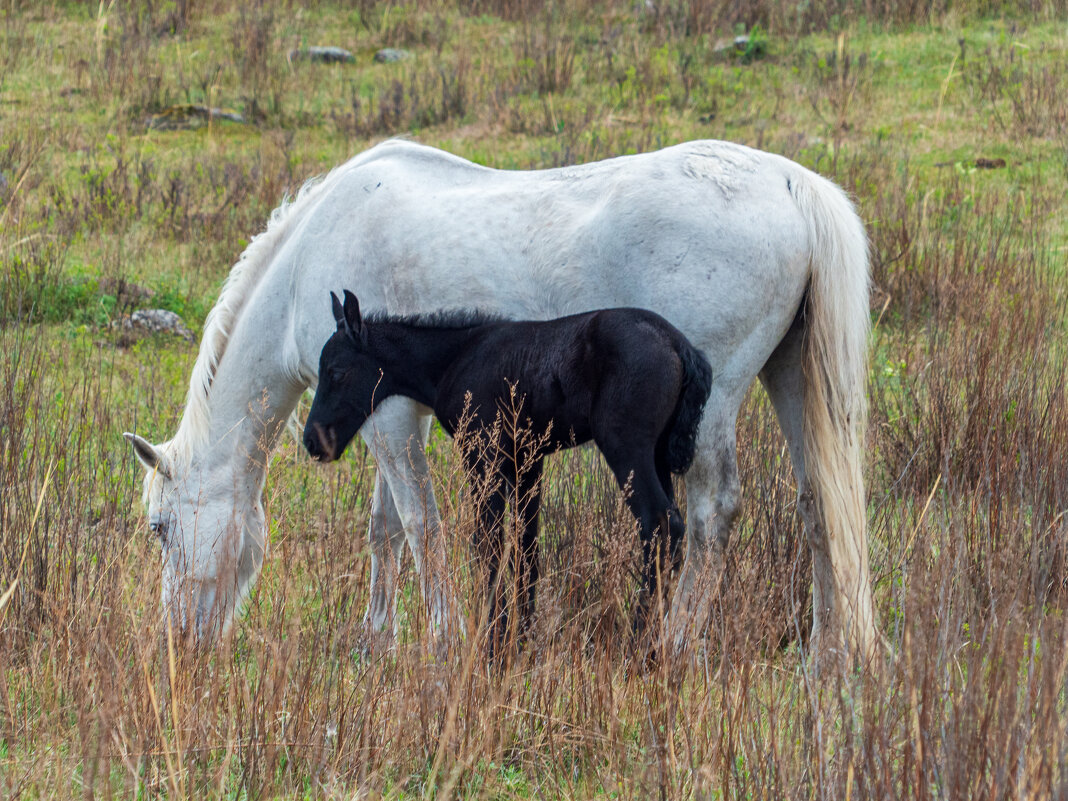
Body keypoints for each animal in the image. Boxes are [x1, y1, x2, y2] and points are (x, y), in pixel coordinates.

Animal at [305, 292, 713, 653]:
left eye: (336, 372)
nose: (313, 440)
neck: (454, 357)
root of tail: (681, 347)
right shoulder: (526, 461)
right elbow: (526, 545)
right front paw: (521, 641)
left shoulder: (481, 453)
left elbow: (489, 542)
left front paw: (493, 645)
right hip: (657, 456)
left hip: (626, 448)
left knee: (660, 525)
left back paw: (640, 649)